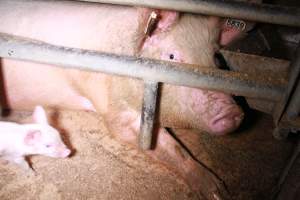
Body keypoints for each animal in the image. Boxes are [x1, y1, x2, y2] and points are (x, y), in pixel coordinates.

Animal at [0, 0, 252, 198]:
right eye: (172, 56)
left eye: (216, 58)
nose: (233, 113)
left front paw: (221, 191)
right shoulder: (115, 106)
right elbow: (165, 145)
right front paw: (216, 191)